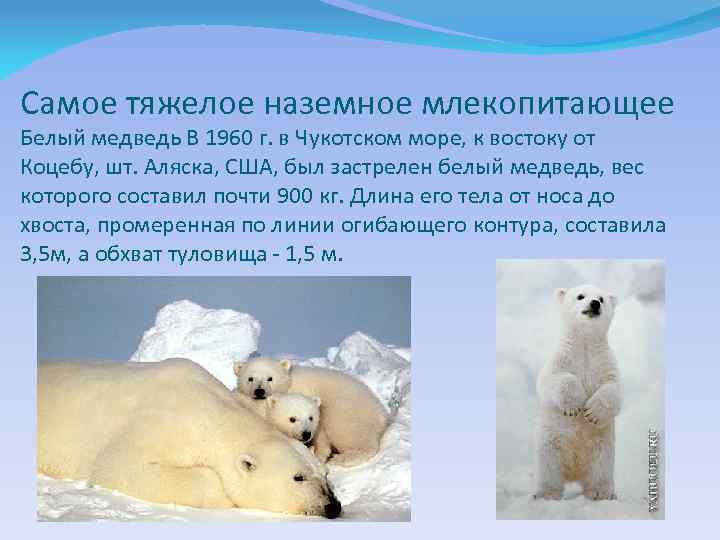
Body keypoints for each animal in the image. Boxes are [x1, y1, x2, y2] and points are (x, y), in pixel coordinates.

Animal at [234, 357, 388, 465]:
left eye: (270, 378)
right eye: (250, 378)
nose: (259, 391)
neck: (290, 383)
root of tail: (381, 413)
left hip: (347, 410)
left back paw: (343, 458)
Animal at [534, 284, 623, 501]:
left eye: (601, 298)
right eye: (580, 296)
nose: (595, 303)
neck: (585, 343)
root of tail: (574, 474)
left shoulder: (604, 364)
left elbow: (614, 388)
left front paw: (592, 413)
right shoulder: (562, 359)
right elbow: (551, 380)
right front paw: (574, 407)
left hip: (601, 450)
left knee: (600, 471)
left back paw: (601, 493)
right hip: (549, 445)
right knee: (549, 469)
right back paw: (547, 494)